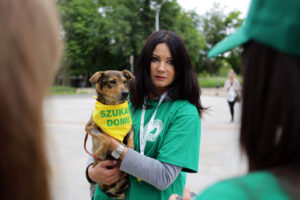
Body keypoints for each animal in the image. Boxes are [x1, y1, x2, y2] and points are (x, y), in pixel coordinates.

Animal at [85, 70, 135, 198]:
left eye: (125, 82)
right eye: (112, 82)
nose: (126, 93)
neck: (113, 106)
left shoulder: (130, 127)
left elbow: (131, 139)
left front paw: (130, 148)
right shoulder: (89, 127)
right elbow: (106, 139)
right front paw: (99, 152)